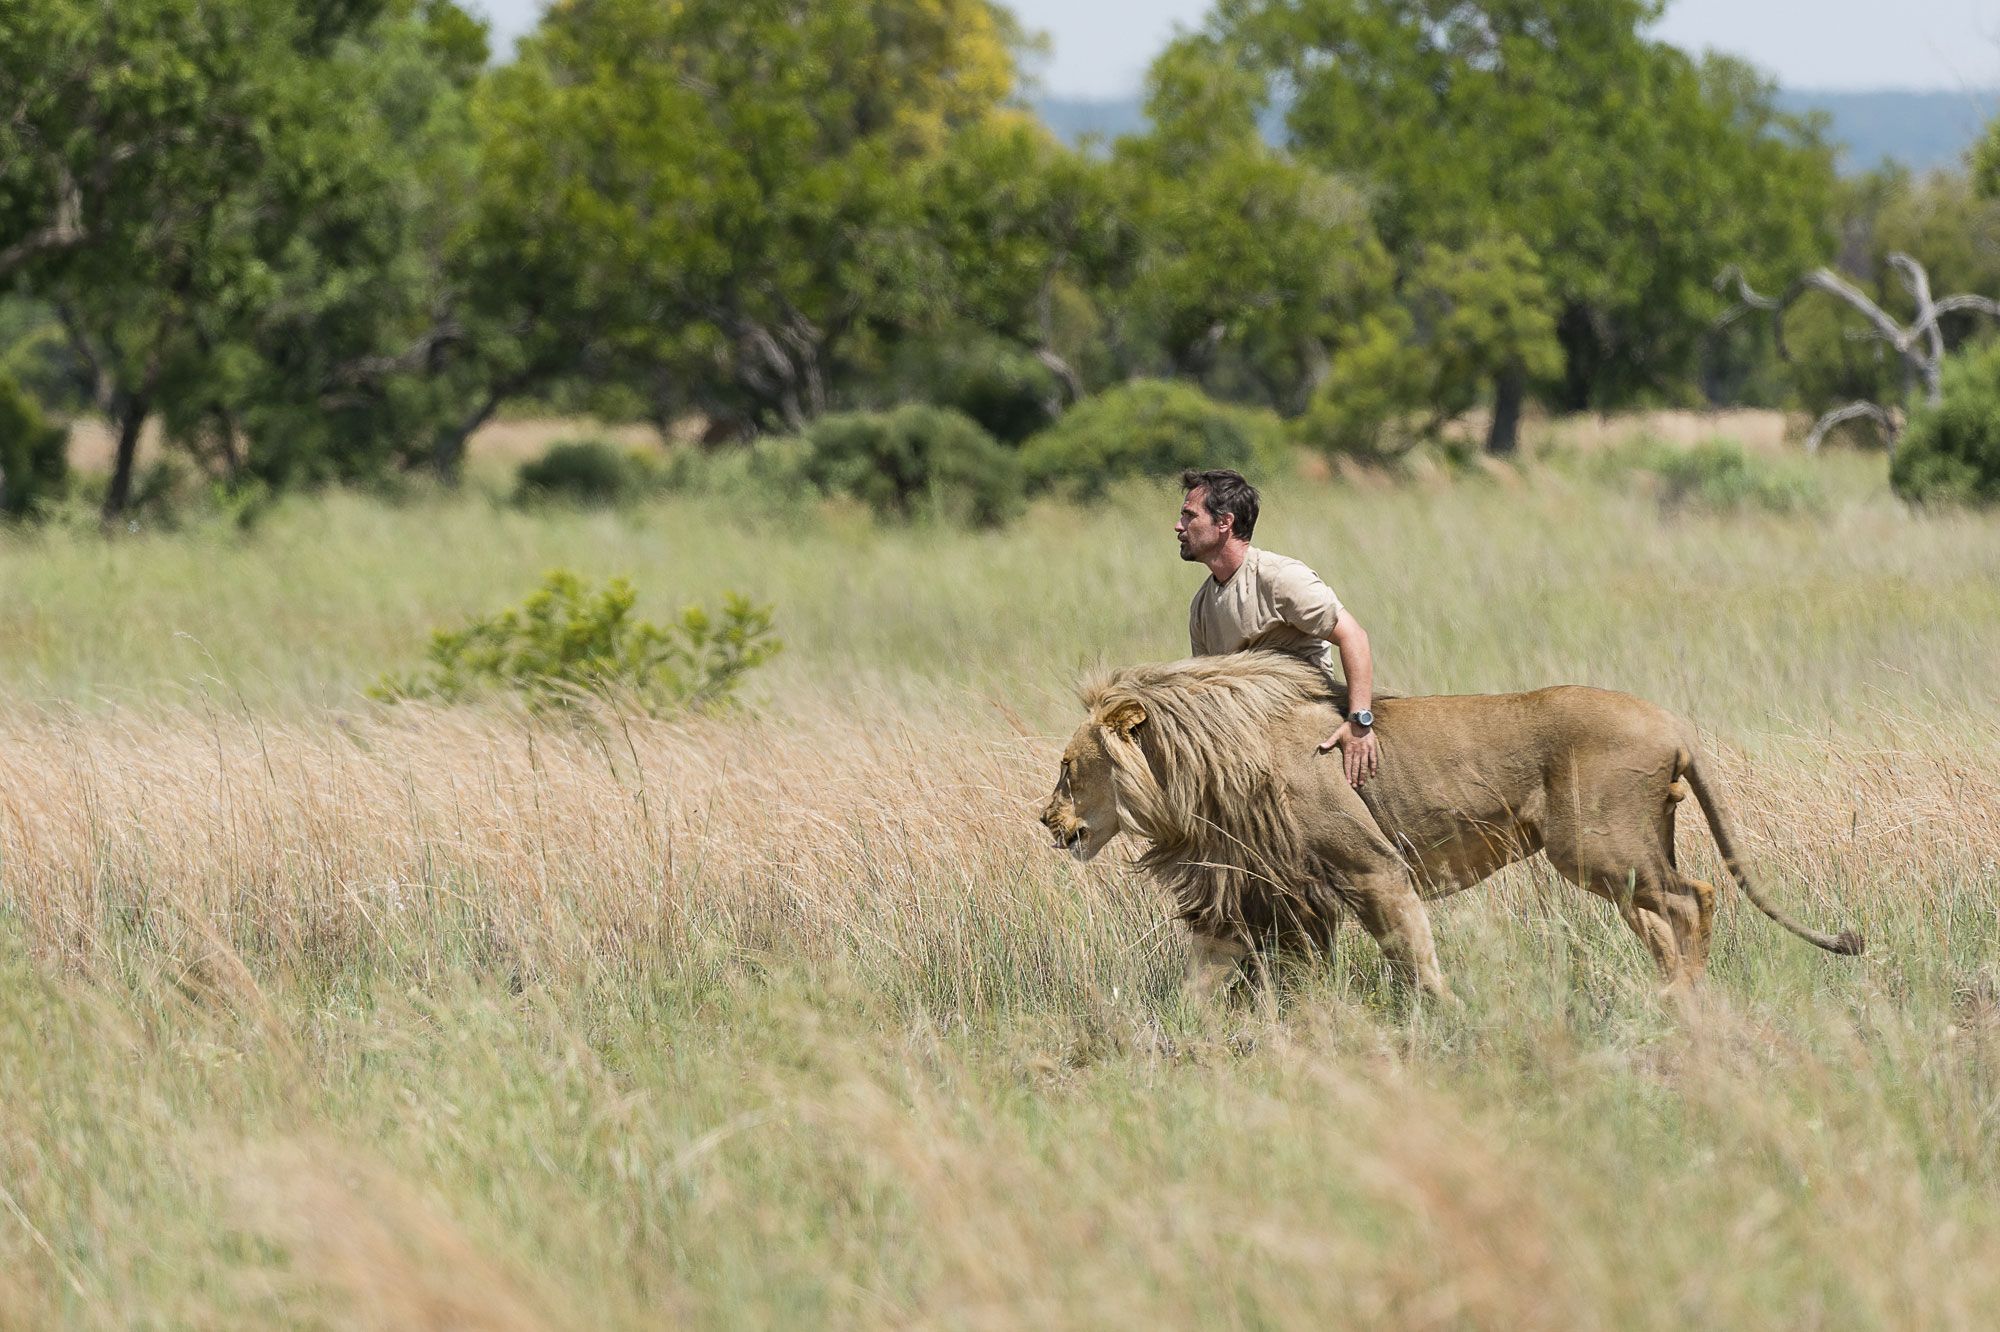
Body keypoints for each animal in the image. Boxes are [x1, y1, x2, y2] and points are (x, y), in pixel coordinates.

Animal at [1040, 652, 1864, 996]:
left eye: (1068, 766)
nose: (1046, 820)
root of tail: (1674, 724)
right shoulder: (1255, 888)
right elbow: (1209, 975)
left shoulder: (1374, 868)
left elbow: (1415, 956)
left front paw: (1442, 1019)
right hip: (1627, 853)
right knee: (1669, 911)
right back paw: (1675, 996)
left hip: (1596, 846)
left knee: (1695, 897)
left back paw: (1684, 999)